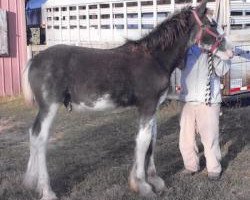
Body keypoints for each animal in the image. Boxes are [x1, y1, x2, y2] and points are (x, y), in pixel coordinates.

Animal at [22, 0, 233, 199]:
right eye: (211, 24)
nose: (231, 51)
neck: (155, 58)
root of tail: (33, 60)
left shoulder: (153, 108)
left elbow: (151, 141)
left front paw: (155, 181)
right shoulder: (147, 106)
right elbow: (143, 141)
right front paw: (143, 186)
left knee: (33, 135)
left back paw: (30, 183)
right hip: (49, 107)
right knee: (40, 138)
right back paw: (47, 191)